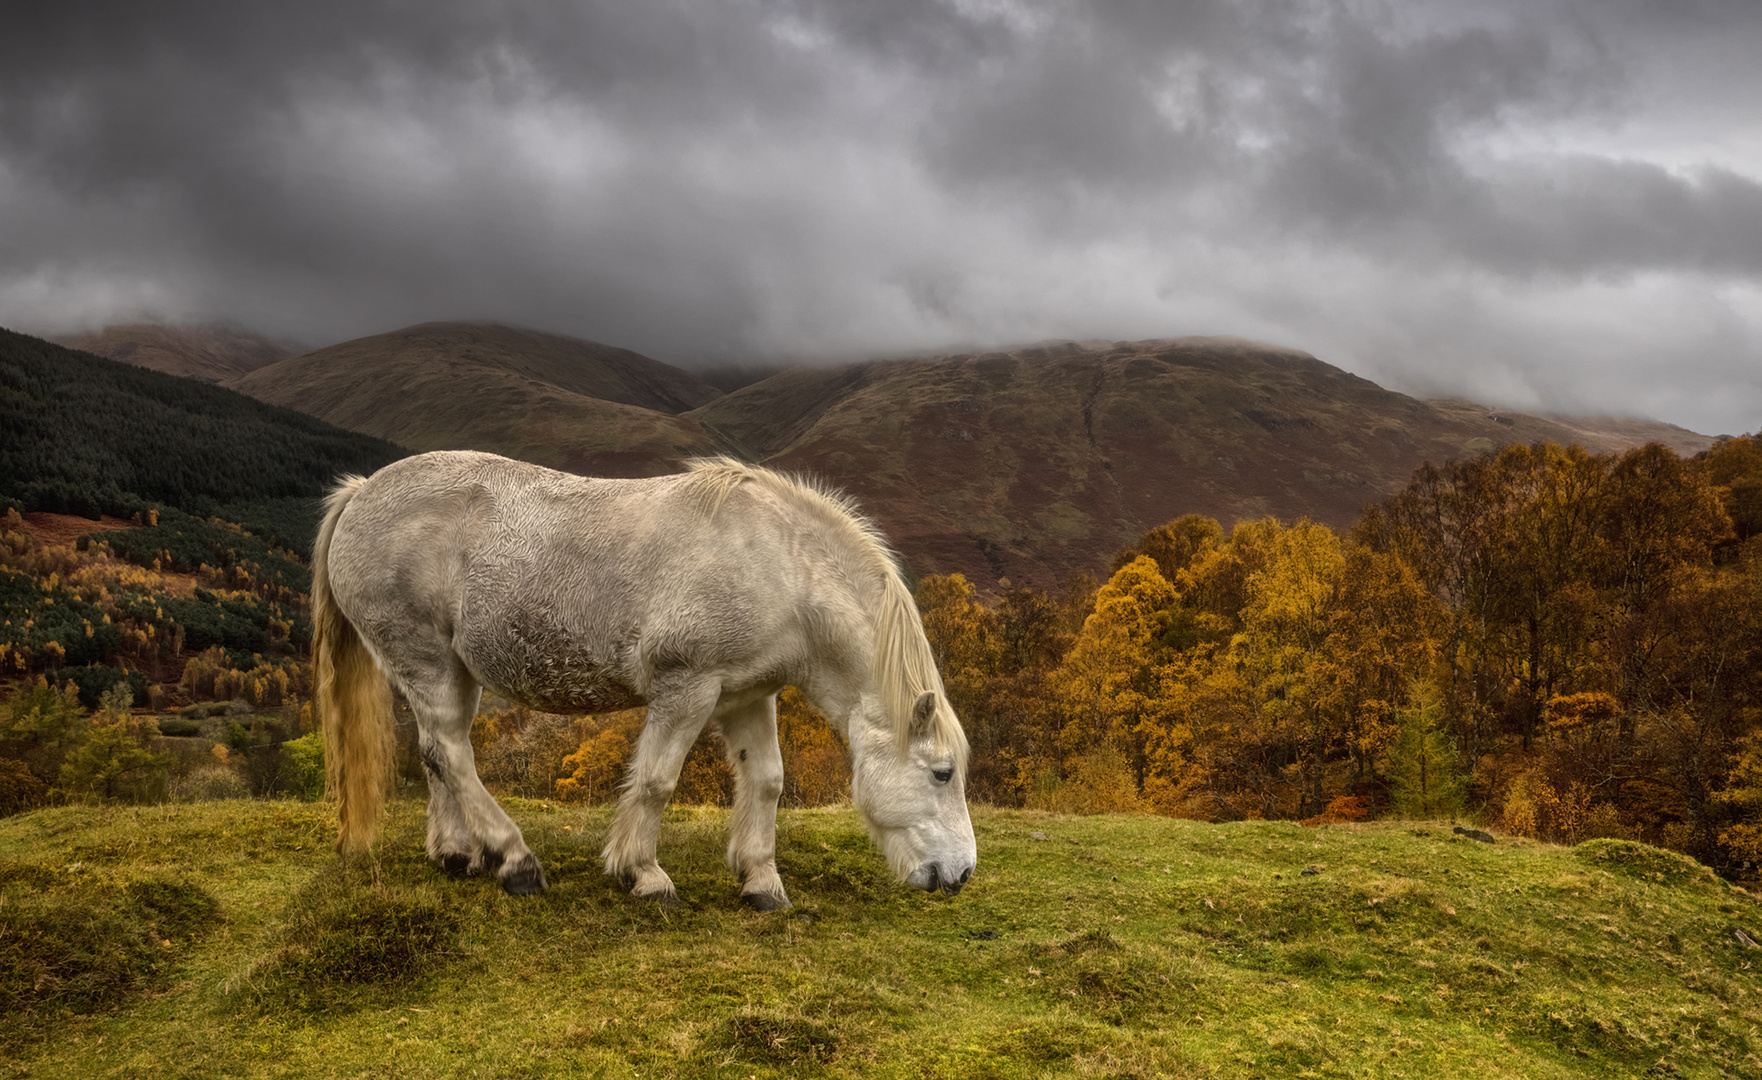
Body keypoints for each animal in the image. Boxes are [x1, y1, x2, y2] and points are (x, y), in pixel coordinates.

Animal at [313, 451, 979, 902]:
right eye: (942, 773)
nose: (962, 873)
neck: (778, 565)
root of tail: (362, 490)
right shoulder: (687, 689)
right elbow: (658, 780)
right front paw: (644, 873)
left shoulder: (748, 695)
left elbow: (766, 781)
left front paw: (761, 880)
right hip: (425, 660)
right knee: (450, 754)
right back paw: (516, 860)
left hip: (452, 671)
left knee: (434, 753)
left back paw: (459, 854)